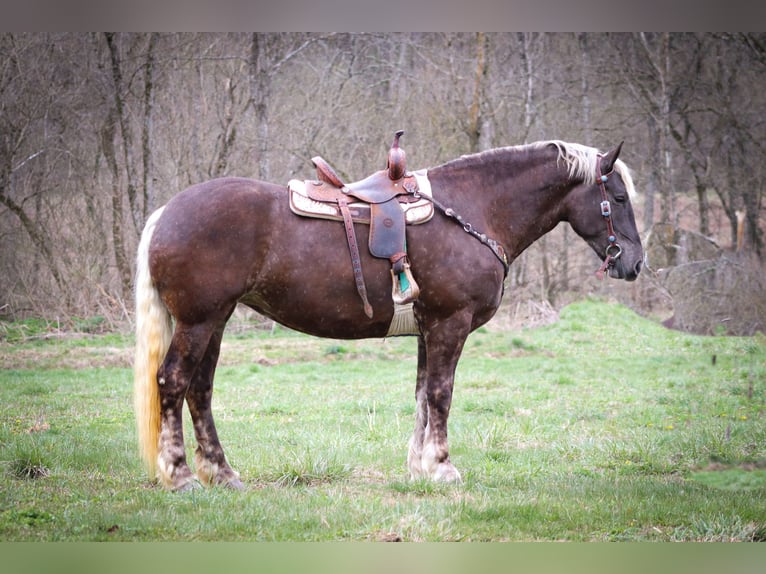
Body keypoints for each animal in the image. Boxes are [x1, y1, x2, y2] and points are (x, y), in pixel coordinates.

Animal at [135, 138, 644, 490]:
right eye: (618, 199)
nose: (635, 262)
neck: (473, 209)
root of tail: (166, 212)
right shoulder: (450, 324)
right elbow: (441, 394)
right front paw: (443, 467)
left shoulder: (427, 329)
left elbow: (421, 395)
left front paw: (419, 467)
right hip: (199, 322)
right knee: (173, 382)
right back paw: (180, 476)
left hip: (215, 321)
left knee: (200, 391)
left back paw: (222, 474)